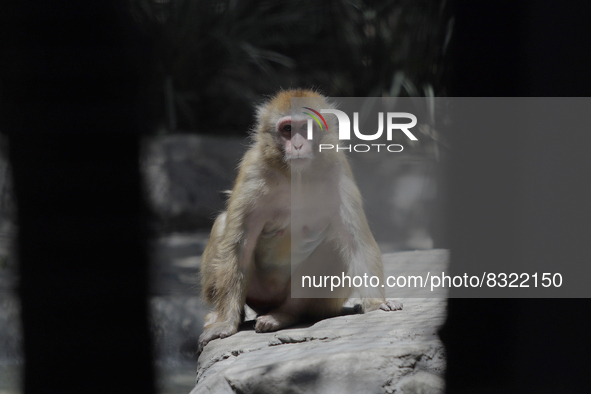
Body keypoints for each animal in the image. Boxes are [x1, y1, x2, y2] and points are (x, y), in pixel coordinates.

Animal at [199, 89, 402, 350]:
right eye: (287, 129)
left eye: (306, 128)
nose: (297, 145)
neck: (296, 176)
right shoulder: (253, 170)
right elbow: (239, 245)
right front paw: (226, 322)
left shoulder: (337, 170)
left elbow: (357, 243)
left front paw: (376, 304)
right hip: (257, 293)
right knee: (222, 224)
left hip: (319, 302)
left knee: (333, 244)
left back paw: (284, 315)